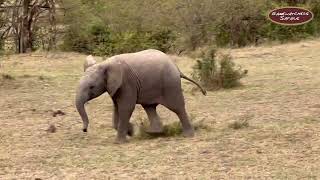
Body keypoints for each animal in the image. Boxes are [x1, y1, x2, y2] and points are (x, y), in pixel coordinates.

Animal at [75, 49, 206, 143]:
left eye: (91, 87)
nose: (84, 130)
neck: (105, 64)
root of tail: (177, 68)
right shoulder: (116, 87)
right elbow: (116, 108)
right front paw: (131, 132)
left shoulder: (126, 84)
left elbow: (125, 108)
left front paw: (120, 141)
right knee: (150, 107)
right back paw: (153, 133)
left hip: (170, 84)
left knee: (177, 107)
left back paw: (188, 135)